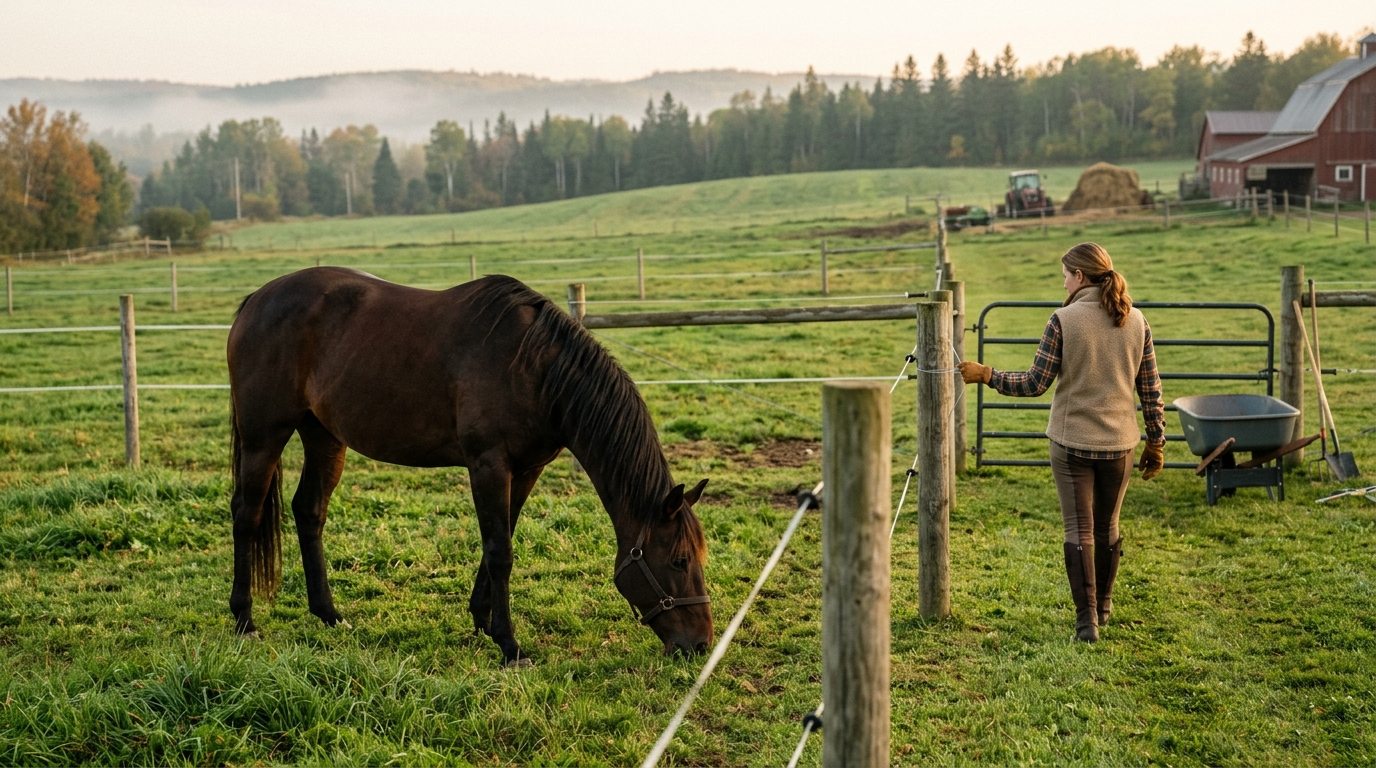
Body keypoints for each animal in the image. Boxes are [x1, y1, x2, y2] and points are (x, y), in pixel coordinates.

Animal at [226, 268, 713, 665]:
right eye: (679, 560)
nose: (701, 644)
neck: (535, 368)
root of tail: (255, 300)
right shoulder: (488, 464)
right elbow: (500, 551)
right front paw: (510, 645)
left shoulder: (526, 469)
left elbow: (502, 538)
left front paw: (482, 620)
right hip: (263, 437)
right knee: (246, 514)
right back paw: (245, 620)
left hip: (324, 437)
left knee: (309, 512)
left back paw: (329, 615)